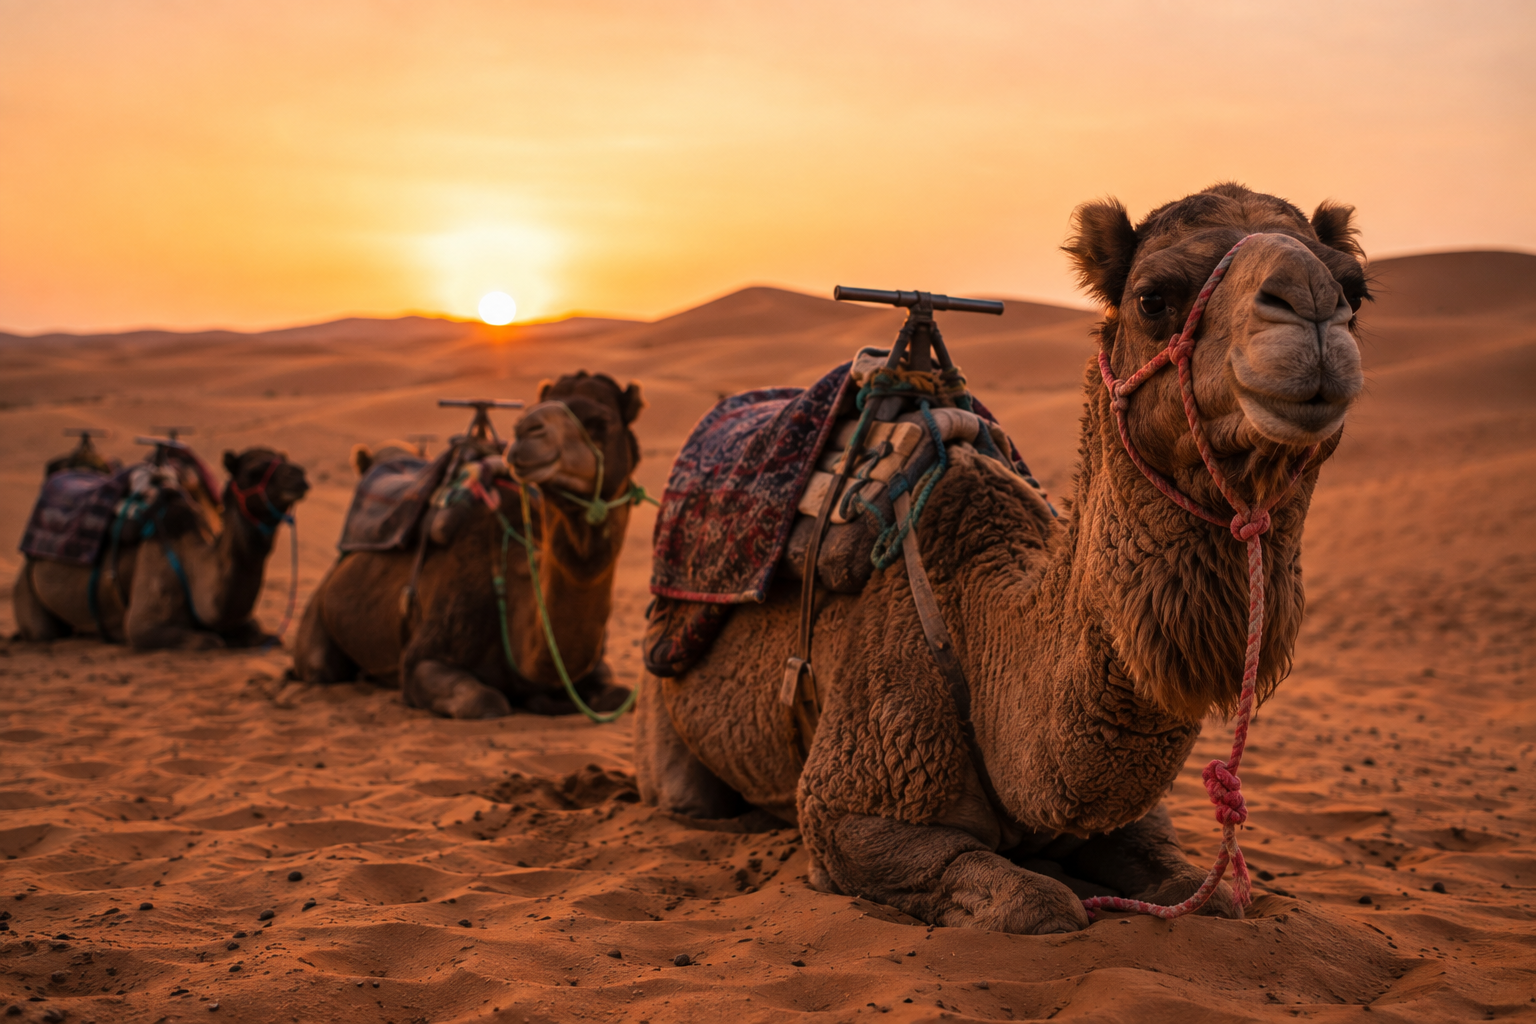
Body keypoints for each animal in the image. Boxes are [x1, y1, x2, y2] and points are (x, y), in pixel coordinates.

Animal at [14, 447, 310, 650]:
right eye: (253, 472)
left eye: (282, 460)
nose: (300, 475)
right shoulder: (142, 625)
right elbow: (210, 641)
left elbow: (267, 635)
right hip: (28, 591)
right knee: (44, 632)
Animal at [293, 372, 645, 719]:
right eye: (536, 406)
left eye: (600, 421)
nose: (527, 430)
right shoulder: (422, 658)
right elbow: (485, 701)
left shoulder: (596, 666)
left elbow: (619, 695)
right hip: (317, 623)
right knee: (320, 667)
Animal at [636, 183, 1369, 934]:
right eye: (1153, 298)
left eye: (1355, 290)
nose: (1310, 300)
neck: (980, 631)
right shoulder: (849, 807)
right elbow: (1039, 903)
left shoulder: (1128, 818)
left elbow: (1208, 892)